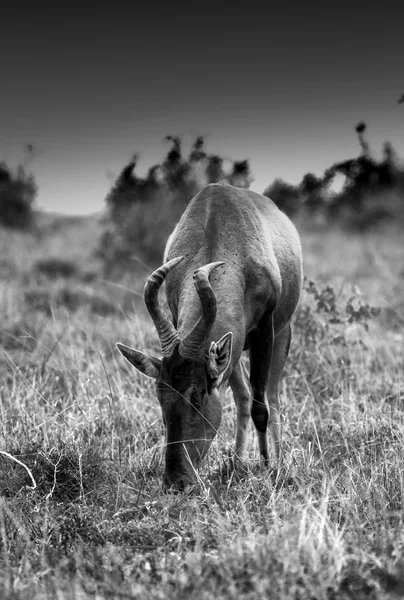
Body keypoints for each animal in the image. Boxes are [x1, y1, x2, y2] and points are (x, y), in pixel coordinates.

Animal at [115, 184, 302, 492]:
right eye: (160, 395)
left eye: (196, 395)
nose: (176, 482)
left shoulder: (265, 327)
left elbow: (261, 407)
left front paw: (267, 468)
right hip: (233, 348)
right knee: (241, 396)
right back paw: (237, 465)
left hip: (281, 333)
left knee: (271, 396)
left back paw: (277, 463)